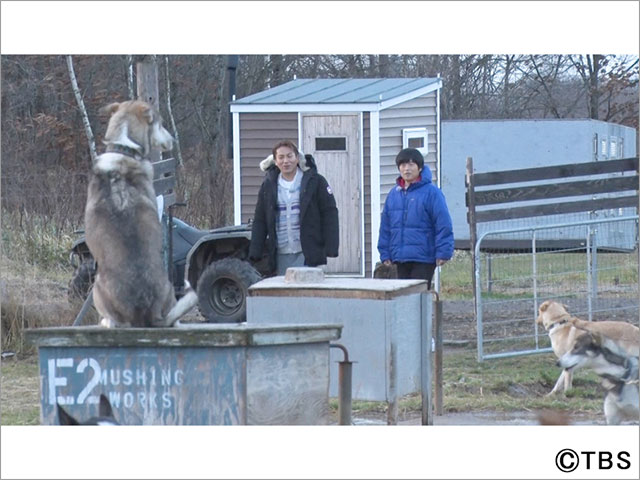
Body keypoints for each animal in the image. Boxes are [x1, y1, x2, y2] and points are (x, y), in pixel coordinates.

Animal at [85, 100, 196, 328]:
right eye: (161, 124)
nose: (172, 140)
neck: (124, 149)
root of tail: (147, 312)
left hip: (97, 287)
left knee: (111, 320)